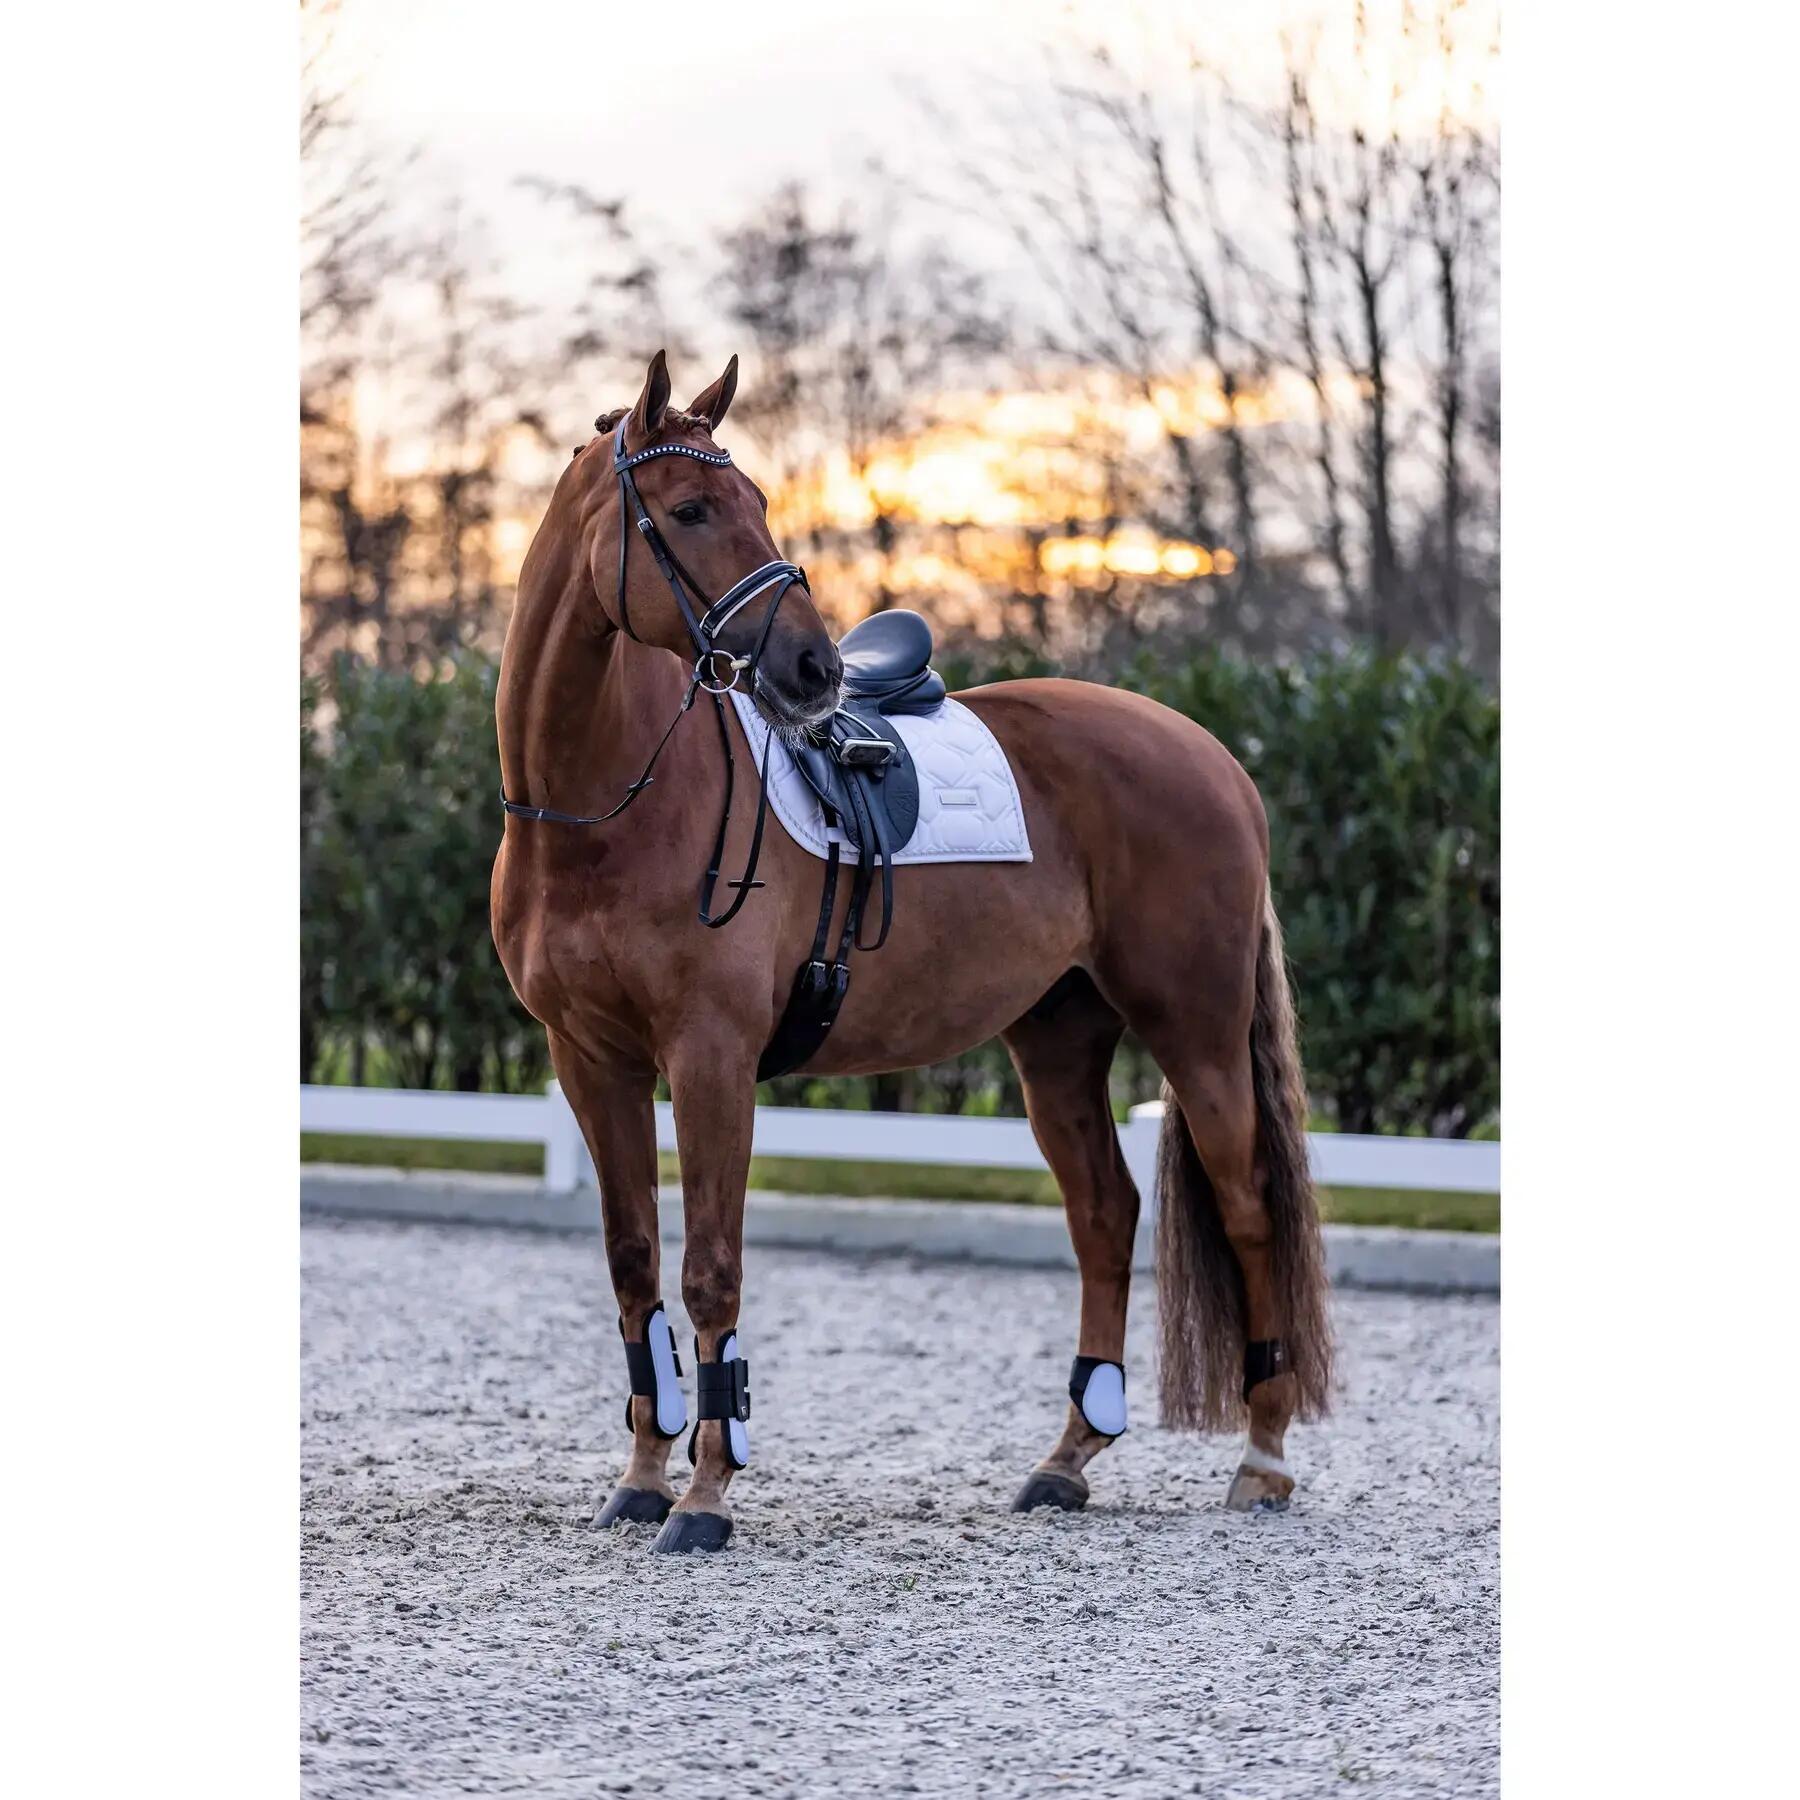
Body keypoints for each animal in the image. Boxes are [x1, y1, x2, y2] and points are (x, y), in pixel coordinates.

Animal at [491, 350, 1333, 1553]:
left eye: (757, 502)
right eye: (691, 509)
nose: (812, 669)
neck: (604, 808)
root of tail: (1211, 754)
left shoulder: (710, 1060)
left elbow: (709, 1272)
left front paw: (705, 1498)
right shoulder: (589, 1062)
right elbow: (633, 1267)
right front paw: (643, 1481)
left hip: (1197, 1031)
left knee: (1249, 1204)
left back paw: (1261, 1459)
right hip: (1057, 1039)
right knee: (1105, 1214)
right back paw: (1067, 1460)